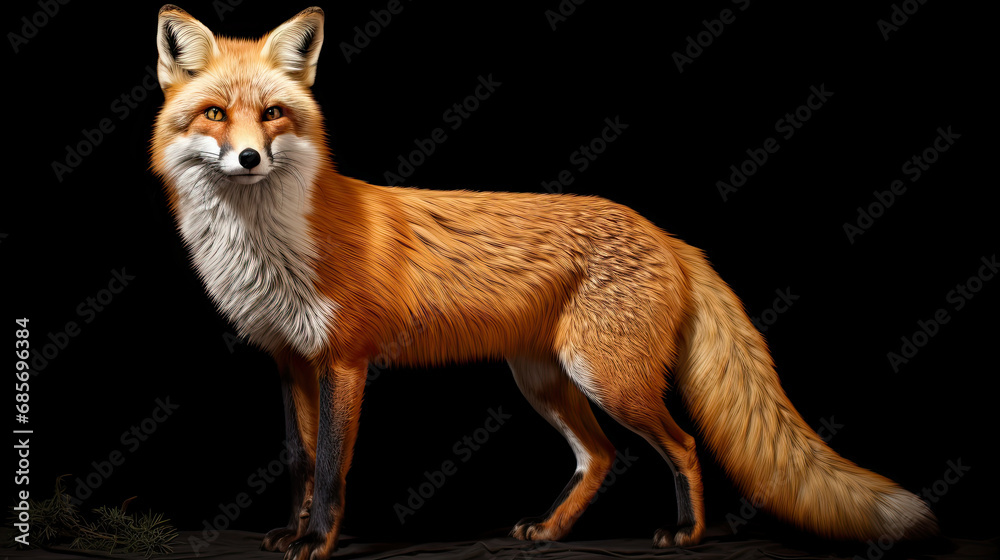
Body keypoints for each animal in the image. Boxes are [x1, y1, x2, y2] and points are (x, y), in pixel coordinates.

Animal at [150, 5, 939, 559]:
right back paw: (552, 532)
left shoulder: (345, 360)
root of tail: (667, 233)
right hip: (544, 381)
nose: (249, 158)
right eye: (214, 114)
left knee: (681, 445)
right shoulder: (291, 360)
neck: (273, 245)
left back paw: (686, 533)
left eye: (274, 113)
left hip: (607, 378)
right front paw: (292, 533)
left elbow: (334, 472)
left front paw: (318, 542)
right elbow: (300, 462)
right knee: (601, 457)